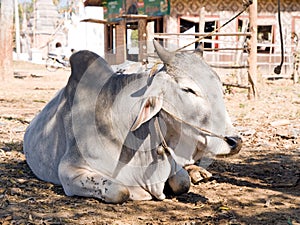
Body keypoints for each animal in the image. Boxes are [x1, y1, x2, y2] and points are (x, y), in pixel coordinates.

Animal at [24, 40, 243, 204]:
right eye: (188, 89)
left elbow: (183, 181)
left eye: (220, 86)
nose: (235, 141)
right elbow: (119, 191)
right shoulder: (70, 170)